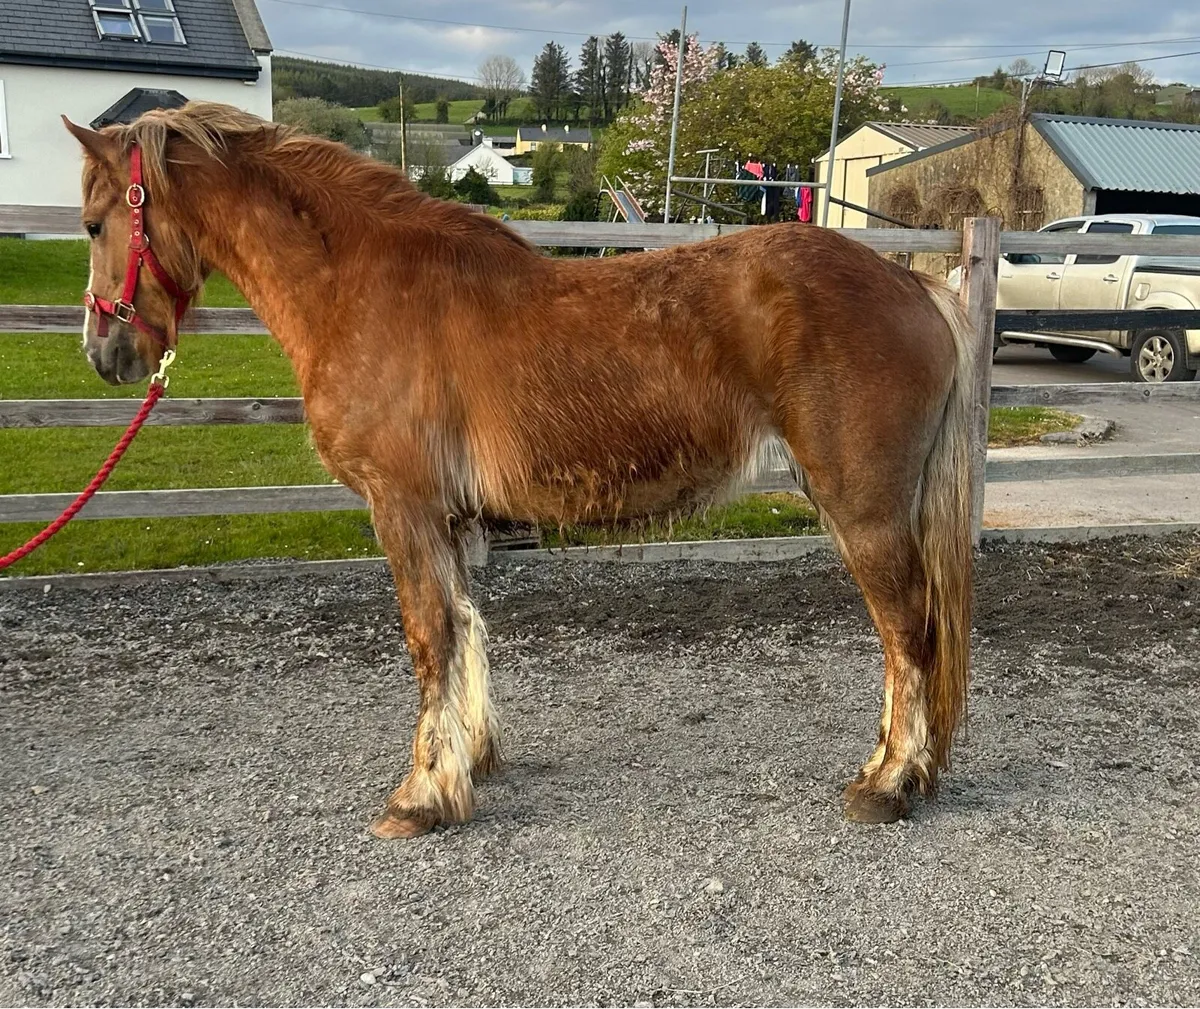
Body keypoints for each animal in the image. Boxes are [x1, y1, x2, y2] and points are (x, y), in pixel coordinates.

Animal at [64, 102, 974, 839]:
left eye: (94, 224)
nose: (105, 353)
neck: (357, 285)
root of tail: (919, 288)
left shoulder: (402, 507)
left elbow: (429, 639)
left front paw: (421, 795)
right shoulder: (446, 518)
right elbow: (464, 631)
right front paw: (468, 762)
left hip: (863, 511)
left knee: (907, 632)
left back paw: (888, 783)